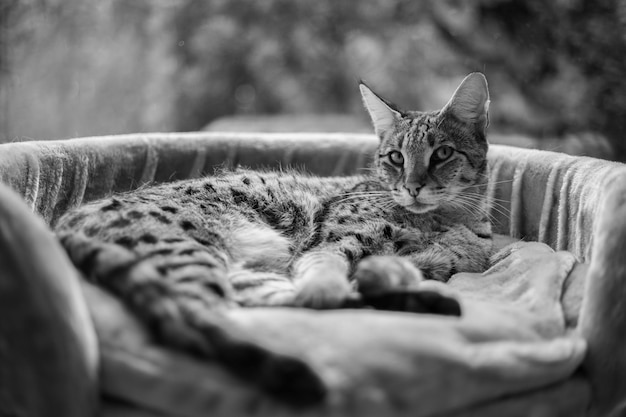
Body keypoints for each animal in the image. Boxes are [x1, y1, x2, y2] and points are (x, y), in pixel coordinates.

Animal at [53, 71, 492, 404]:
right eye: (396, 158)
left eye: (442, 154)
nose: (413, 187)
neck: (435, 221)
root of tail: (60, 223)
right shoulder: (332, 245)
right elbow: (326, 272)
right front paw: (351, 279)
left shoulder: (439, 262)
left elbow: (400, 267)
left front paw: (390, 275)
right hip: (190, 253)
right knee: (195, 319)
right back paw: (292, 372)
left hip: (247, 271)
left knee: (278, 304)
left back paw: (427, 303)